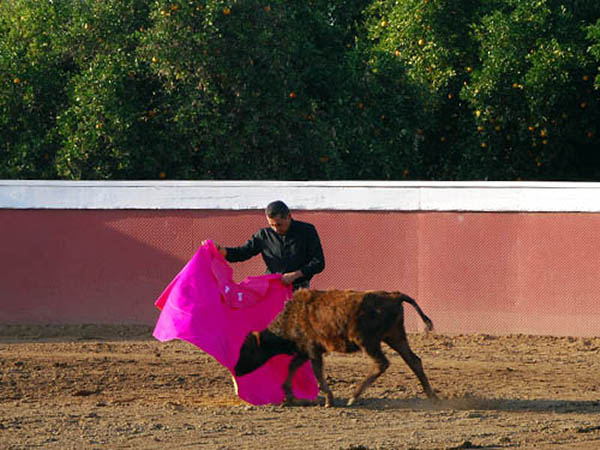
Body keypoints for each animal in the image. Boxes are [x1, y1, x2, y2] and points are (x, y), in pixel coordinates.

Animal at [233, 288, 436, 408]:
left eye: (249, 349)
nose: (237, 370)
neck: (290, 318)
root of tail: (394, 295)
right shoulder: (304, 351)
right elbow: (292, 367)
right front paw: (288, 397)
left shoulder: (313, 350)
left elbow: (317, 373)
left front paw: (329, 400)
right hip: (395, 337)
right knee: (414, 360)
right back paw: (431, 394)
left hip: (368, 341)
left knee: (382, 363)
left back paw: (353, 397)